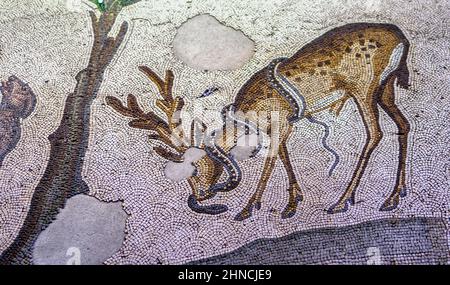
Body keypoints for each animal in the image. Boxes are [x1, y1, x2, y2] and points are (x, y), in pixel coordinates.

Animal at [106, 23, 412, 221]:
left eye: (193, 169)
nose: (200, 197)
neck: (245, 113)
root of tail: (400, 36)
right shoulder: (282, 128)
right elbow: (284, 158)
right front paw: (291, 205)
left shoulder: (280, 125)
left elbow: (270, 162)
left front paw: (247, 209)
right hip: (385, 89)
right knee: (404, 125)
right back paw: (393, 198)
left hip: (364, 90)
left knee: (374, 133)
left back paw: (341, 202)